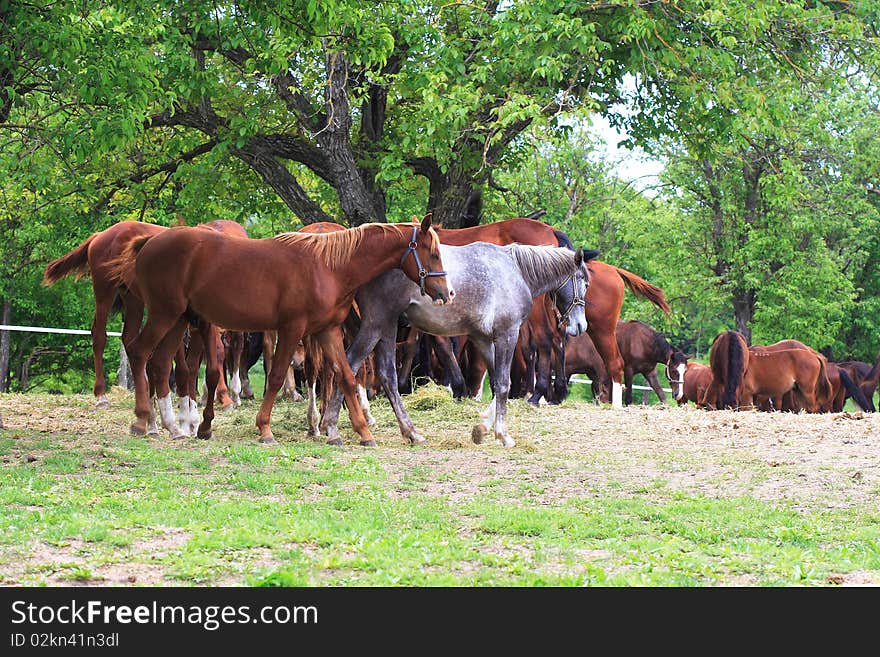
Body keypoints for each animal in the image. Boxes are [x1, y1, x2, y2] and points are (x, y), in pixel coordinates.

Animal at [108, 218, 454, 444]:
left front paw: (362, 432)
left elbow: (345, 375)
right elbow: (276, 377)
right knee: (140, 353)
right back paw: (143, 421)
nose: (447, 293)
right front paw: (264, 429)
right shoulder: (292, 329)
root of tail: (149, 243)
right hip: (164, 314)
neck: (328, 266)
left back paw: (172, 426)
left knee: (159, 363)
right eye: (434, 253)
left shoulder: (327, 331)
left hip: (178, 319)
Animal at [316, 241, 600, 446]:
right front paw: (503, 435)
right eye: (585, 283)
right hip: (376, 325)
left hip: (387, 327)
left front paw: (482, 429)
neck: (515, 271)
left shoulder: (482, 338)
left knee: (384, 375)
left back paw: (406, 432)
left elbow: (497, 382)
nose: (581, 326)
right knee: (351, 365)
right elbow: (504, 384)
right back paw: (338, 428)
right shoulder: (507, 335)